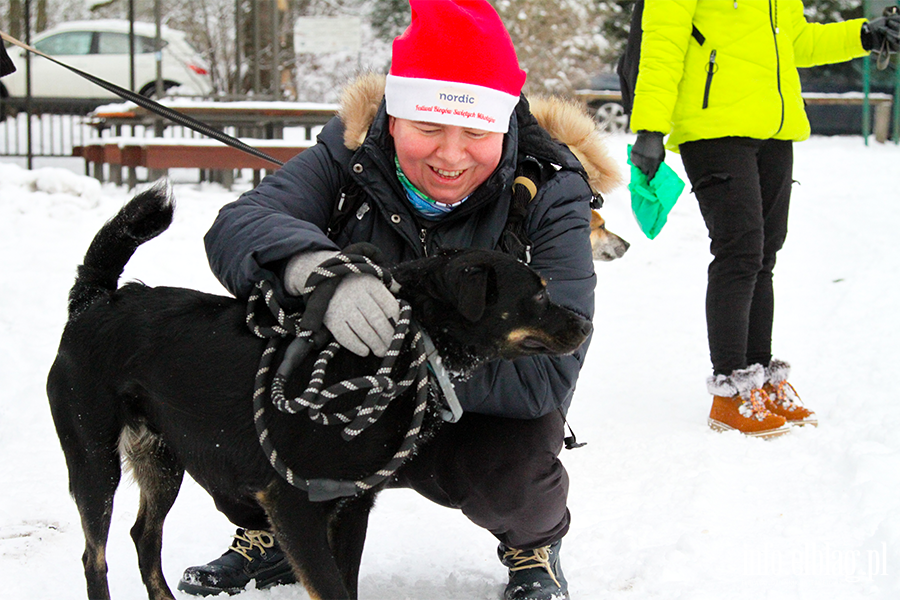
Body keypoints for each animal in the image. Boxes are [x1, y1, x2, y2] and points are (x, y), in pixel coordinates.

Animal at [47, 186, 592, 600]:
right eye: (539, 293)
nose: (586, 323)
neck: (402, 344)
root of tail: (94, 300)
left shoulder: (350, 505)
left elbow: (346, 585)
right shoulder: (292, 503)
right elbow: (329, 587)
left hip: (162, 460)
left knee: (144, 537)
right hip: (95, 461)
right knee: (94, 555)